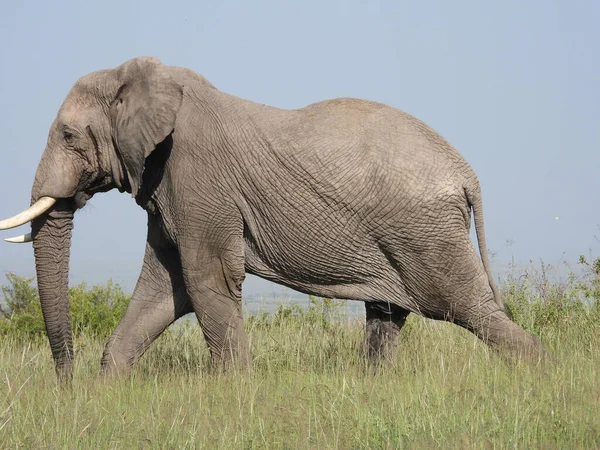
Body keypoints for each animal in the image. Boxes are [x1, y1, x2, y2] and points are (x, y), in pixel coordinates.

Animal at [0, 55, 540, 380]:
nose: (66, 386)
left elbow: (206, 279)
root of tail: (465, 173)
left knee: (465, 307)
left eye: (69, 136)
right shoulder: (167, 186)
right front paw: (108, 385)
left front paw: (235, 390)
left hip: (425, 232)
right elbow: (165, 288)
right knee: (388, 316)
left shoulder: (196, 178)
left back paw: (540, 372)